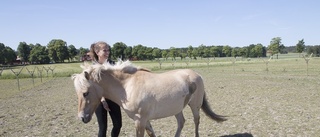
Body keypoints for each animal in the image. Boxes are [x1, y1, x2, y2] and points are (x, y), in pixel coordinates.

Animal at [72, 61, 228, 137]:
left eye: (85, 93)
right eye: (77, 93)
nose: (82, 117)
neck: (127, 86)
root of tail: (196, 74)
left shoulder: (139, 120)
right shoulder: (144, 120)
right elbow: (151, 134)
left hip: (195, 105)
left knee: (196, 121)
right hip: (177, 108)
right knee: (181, 122)